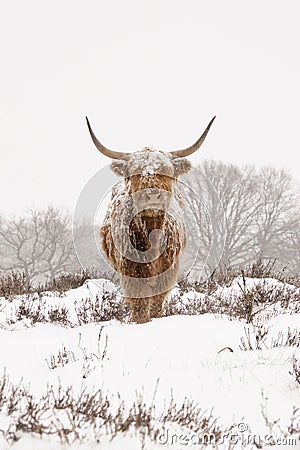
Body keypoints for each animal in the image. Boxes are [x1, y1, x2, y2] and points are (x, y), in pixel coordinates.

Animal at [85, 116, 214, 324]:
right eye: (135, 172)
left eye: (166, 170)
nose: (153, 195)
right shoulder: (131, 269)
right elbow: (139, 303)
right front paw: (141, 322)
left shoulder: (168, 270)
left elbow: (156, 302)